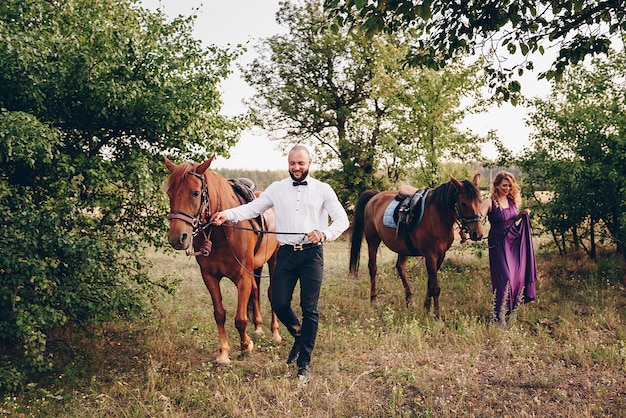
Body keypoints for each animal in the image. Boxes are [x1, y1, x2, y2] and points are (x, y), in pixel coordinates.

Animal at [162, 155, 280, 364]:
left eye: (195, 193)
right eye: (170, 193)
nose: (178, 238)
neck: (224, 230)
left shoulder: (242, 277)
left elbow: (240, 318)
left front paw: (246, 346)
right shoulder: (210, 277)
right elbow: (219, 314)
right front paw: (223, 353)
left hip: (274, 259)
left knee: (272, 292)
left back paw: (275, 333)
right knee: (256, 291)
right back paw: (258, 328)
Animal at [348, 173, 480, 316]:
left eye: (480, 201)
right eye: (463, 204)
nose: (477, 234)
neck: (437, 216)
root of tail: (375, 196)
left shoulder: (440, 255)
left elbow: (430, 284)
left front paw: (426, 308)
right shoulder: (430, 255)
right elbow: (435, 287)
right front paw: (437, 316)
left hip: (402, 248)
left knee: (400, 267)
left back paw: (410, 299)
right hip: (373, 241)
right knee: (373, 268)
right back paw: (374, 300)